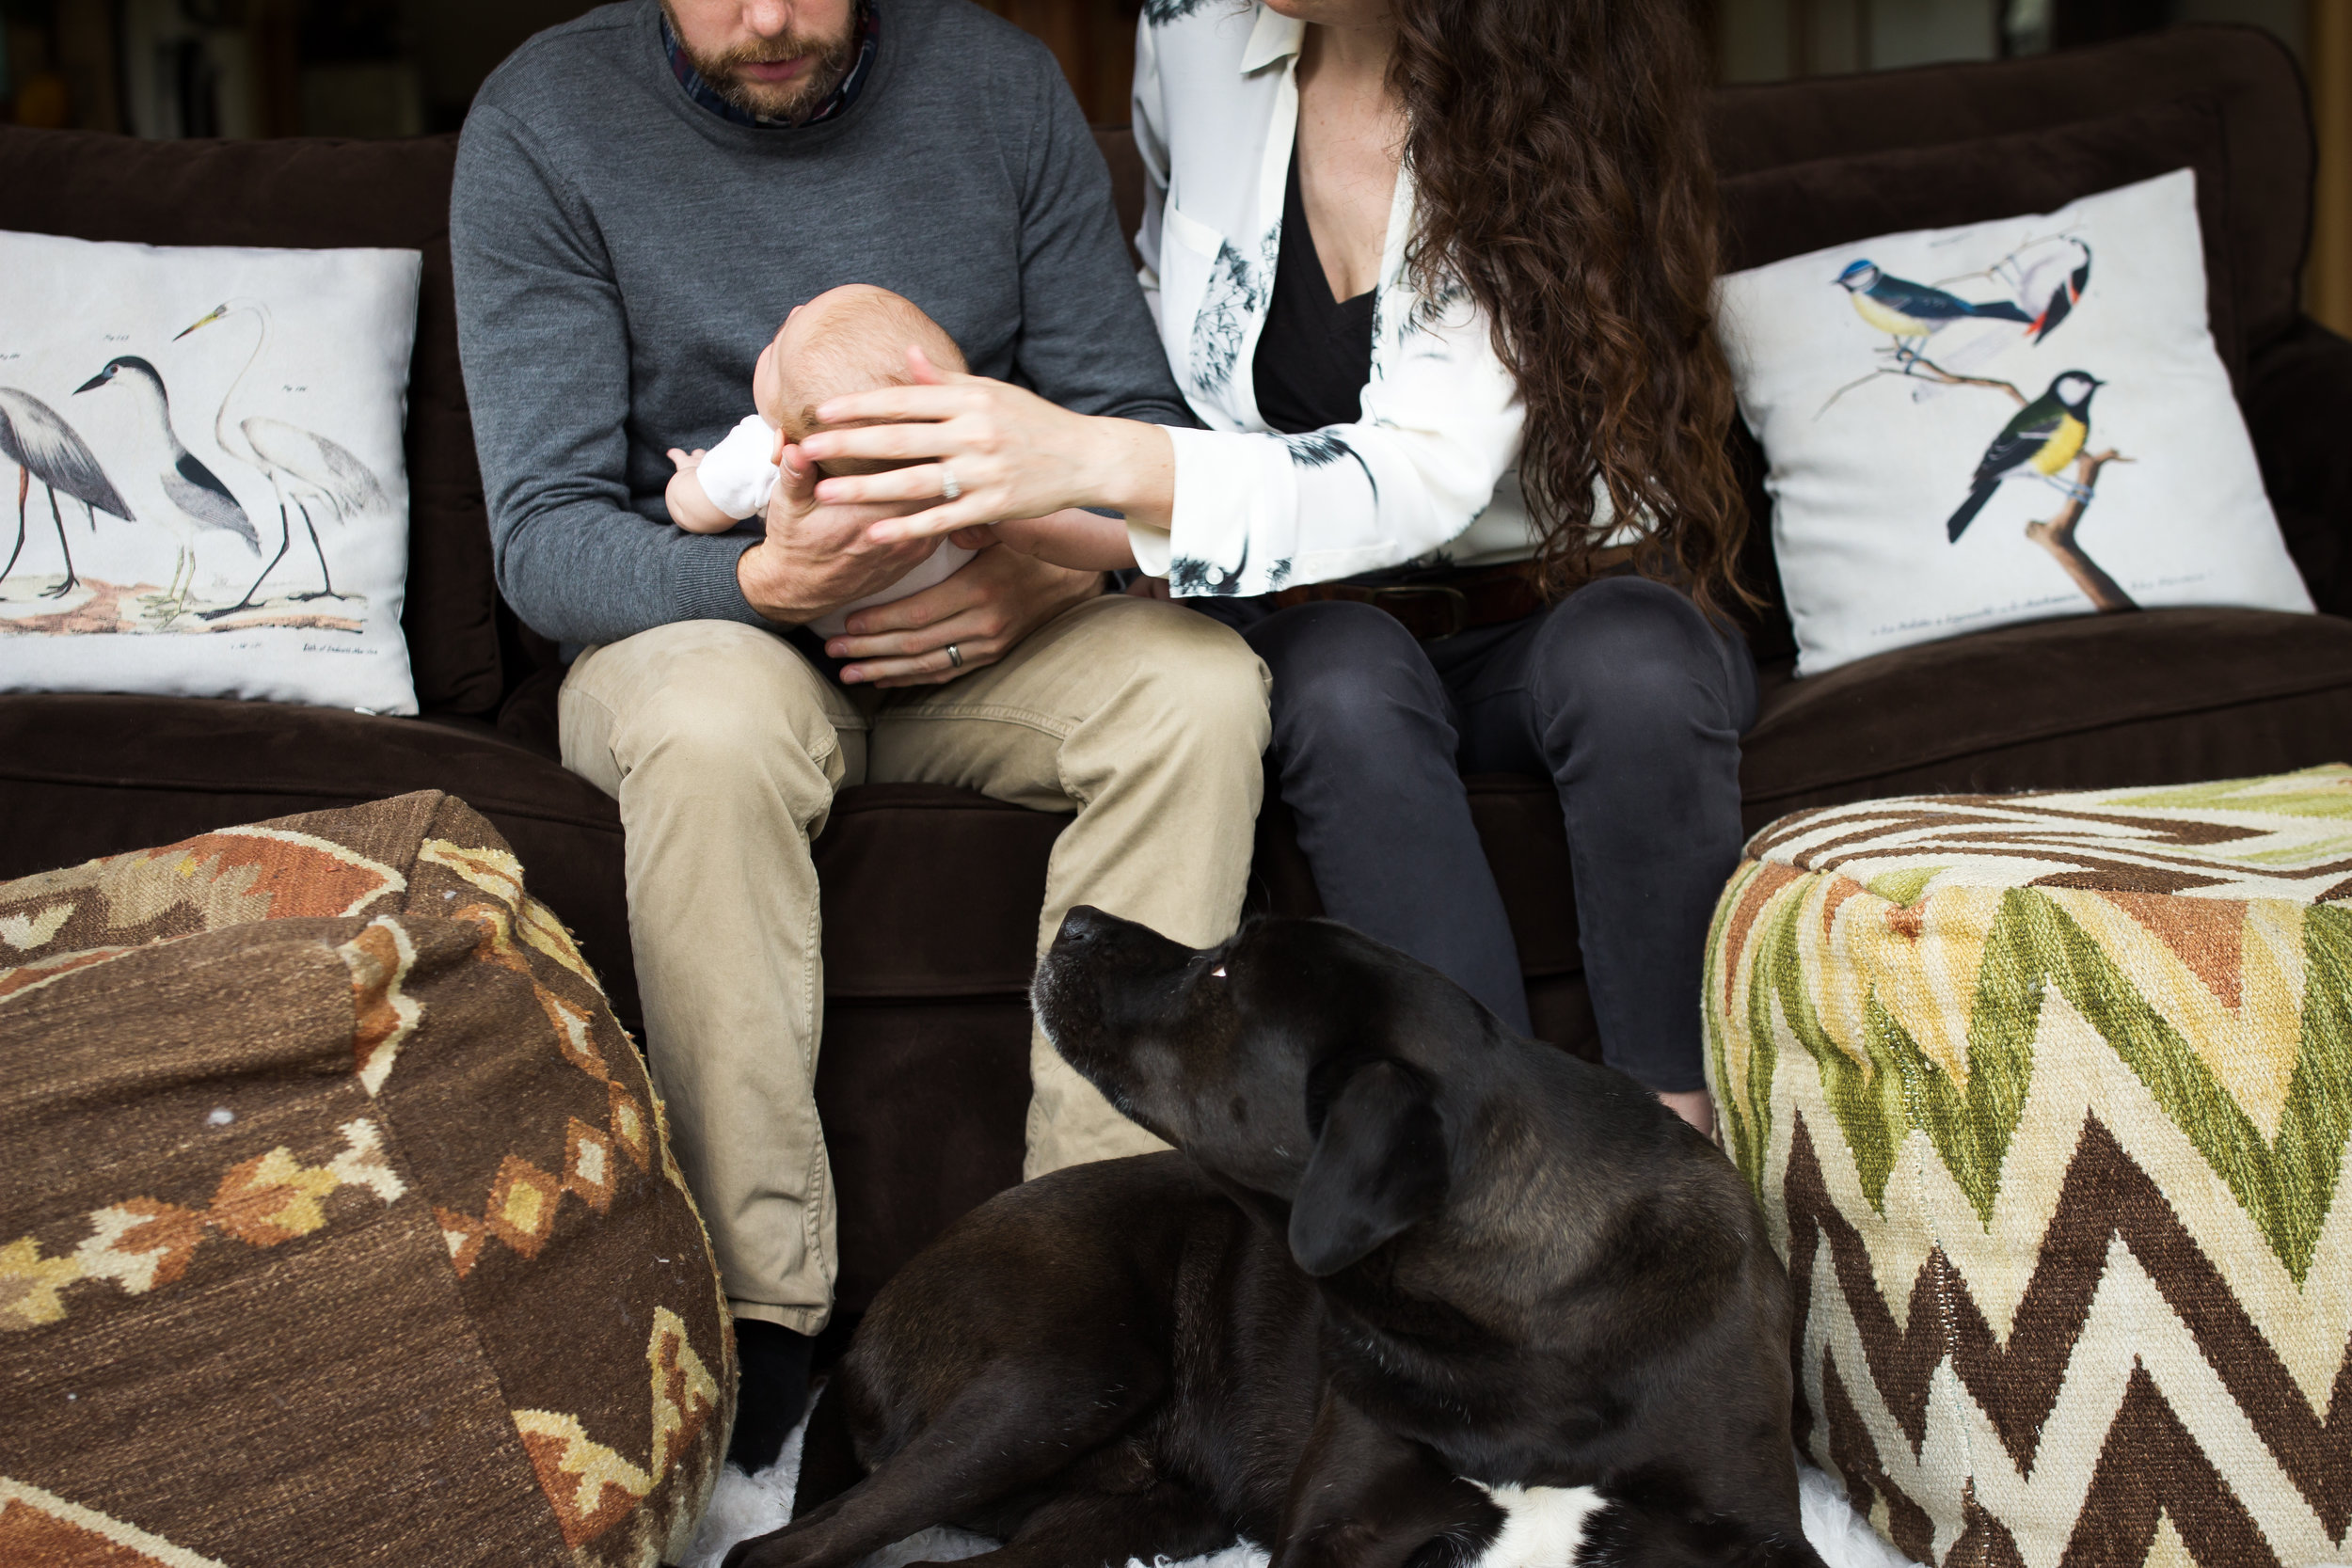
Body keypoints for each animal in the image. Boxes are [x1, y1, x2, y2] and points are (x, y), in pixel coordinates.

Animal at [724, 907, 1825, 1568]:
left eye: (1218, 974)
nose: (1075, 917)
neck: (1535, 1333)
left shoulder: (1764, 1537)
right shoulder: (1337, 1526)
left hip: (1143, 1505)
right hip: (1060, 1378)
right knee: (772, 1551)